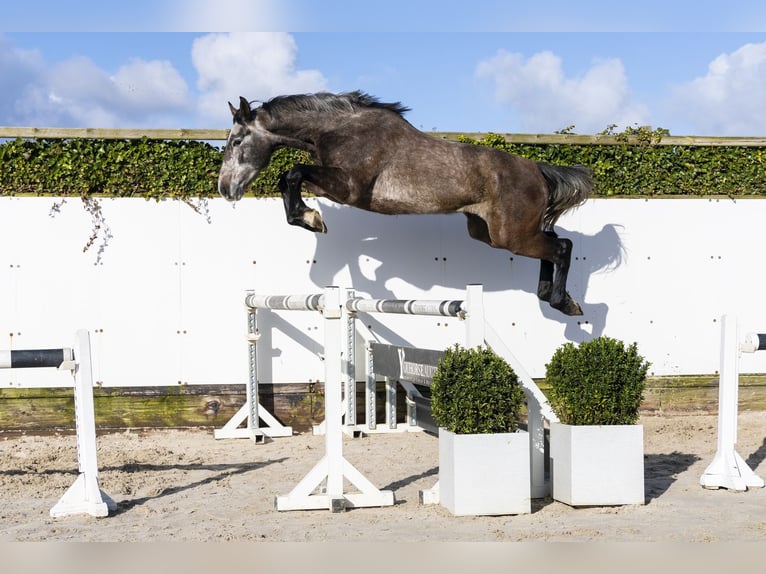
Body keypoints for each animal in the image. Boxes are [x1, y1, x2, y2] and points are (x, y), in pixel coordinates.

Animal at [217, 91, 592, 316]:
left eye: (236, 141)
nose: (225, 189)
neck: (338, 130)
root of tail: (537, 169)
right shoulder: (331, 186)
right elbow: (288, 179)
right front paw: (310, 218)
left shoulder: (348, 187)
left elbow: (293, 172)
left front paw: (311, 219)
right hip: (489, 232)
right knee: (552, 243)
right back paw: (555, 298)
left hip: (509, 235)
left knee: (561, 246)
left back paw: (562, 302)